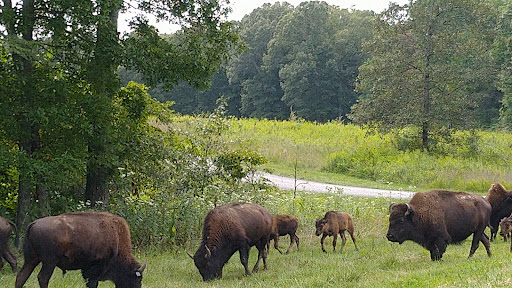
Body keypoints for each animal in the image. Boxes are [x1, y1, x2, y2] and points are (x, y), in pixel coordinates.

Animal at [15, 212, 145, 288]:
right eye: (137, 279)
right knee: (42, 278)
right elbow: (92, 283)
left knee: (21, 276)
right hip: (49, 262)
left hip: (31, 260)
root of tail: (33, 224)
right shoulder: (95, 270)